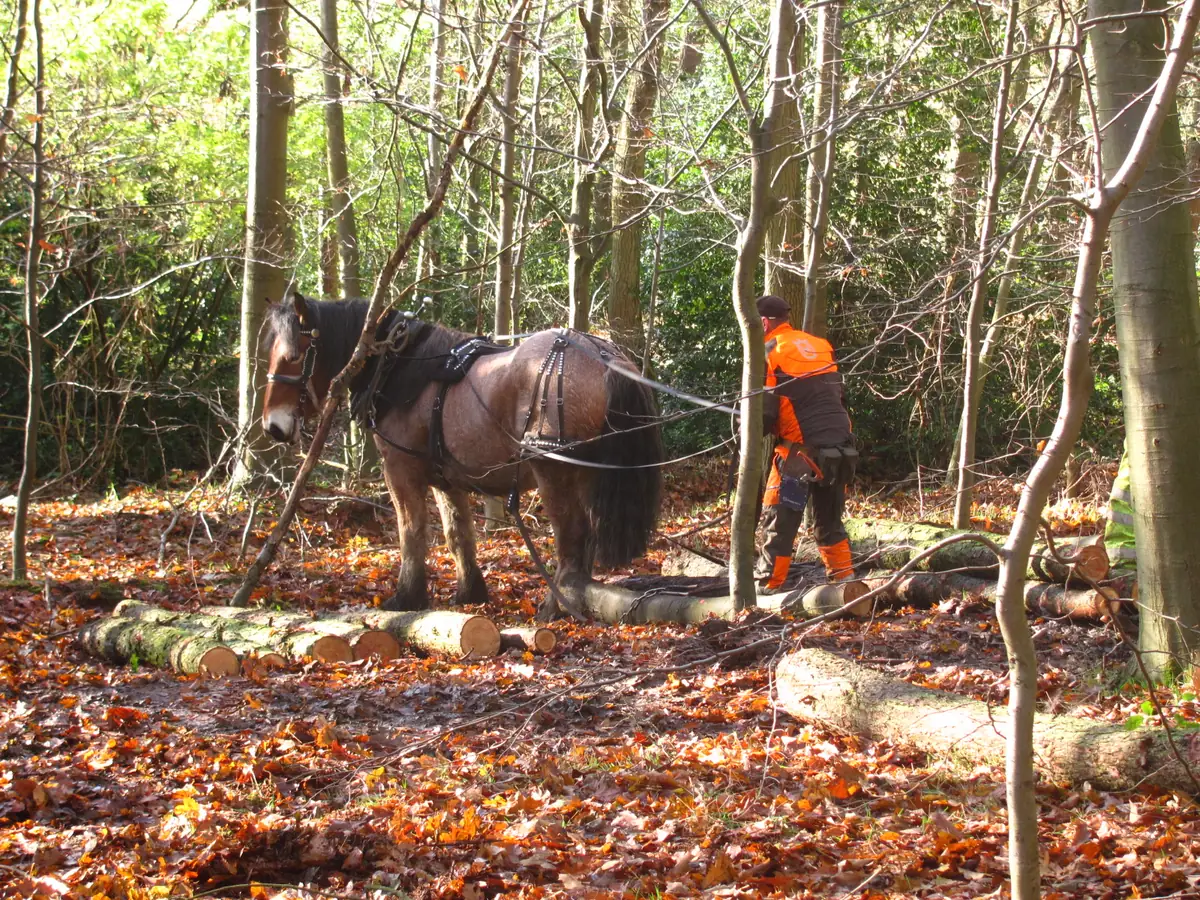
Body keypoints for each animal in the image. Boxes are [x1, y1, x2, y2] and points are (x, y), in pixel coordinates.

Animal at [259, 291, 663, 619]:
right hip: (586, 473)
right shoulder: (446, 478)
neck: (401, 366)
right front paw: (470, 592)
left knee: (572, 539)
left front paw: (406, 597)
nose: (273, 427)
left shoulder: (400, 468)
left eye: (293, 357)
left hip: (554, 471)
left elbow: (411, 531)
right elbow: (458, 534)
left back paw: (555, 608)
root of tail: (604, 355)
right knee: (585, 541)